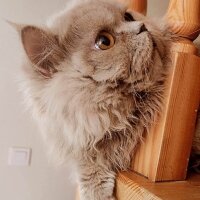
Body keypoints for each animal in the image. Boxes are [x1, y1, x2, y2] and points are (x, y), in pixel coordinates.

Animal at [18, 0, 173, 200]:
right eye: (104, 42)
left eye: (128, 17)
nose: (142, 26)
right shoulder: (80, 142)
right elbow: (89, 166)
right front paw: (97, 193)